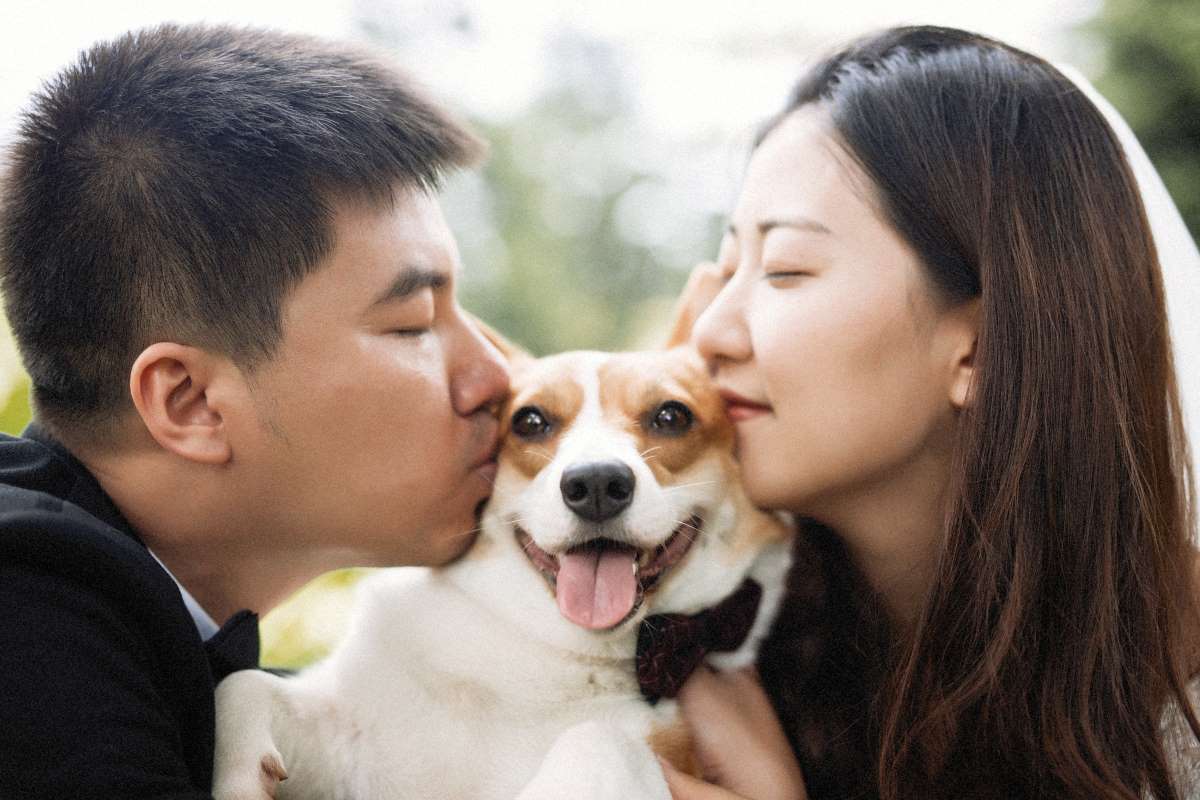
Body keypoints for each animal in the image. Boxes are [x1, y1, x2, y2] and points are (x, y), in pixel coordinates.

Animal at [213, 340, 796, 800]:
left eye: (672, 416)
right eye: (530, 421)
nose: (597, 483)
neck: (547, 649)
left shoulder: (656, 744)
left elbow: (597, 739)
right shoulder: (347, 731)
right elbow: (243, 686)